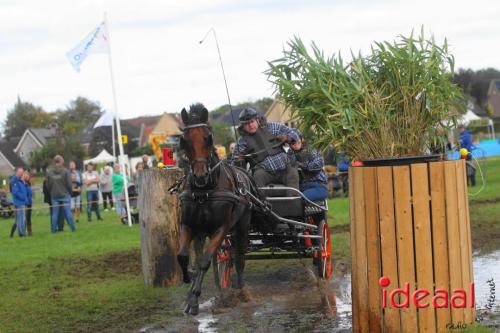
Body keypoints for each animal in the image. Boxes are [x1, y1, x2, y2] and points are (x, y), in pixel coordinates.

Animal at [177, 103, 256, 314]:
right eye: (184, 140)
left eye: (208, 137)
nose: (200, 176)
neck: (205, 191)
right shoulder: (188, 225)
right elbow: (184, 257)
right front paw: (189, 287)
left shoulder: (221, 228)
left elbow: (205, 261)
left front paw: (195, 297)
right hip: (203, 231)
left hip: (242, 225)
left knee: (239, 256)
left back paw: (241, 290)